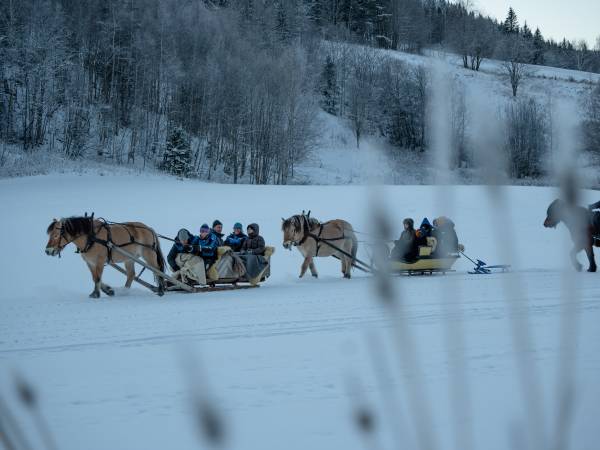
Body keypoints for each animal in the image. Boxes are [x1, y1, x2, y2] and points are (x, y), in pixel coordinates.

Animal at [45, 214, 274, 298]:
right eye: (48, 234)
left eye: (56, 234)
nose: (47, 251)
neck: (91, 236)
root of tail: (149, 228)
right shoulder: (91, 262)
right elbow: (95, 278)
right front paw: (106, 291)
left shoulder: (100, 261)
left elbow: (97, 278)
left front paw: (99, 293)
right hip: (130, 258)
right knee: (132, 275)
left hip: (146, 254)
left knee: (151, 272)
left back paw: (162, 289)